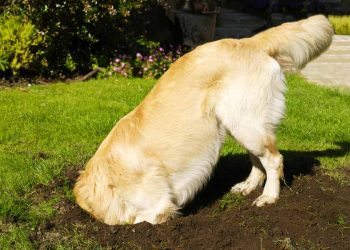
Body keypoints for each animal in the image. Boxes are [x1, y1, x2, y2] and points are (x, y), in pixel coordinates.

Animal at [74, 15, 334, 225]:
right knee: (258, 162)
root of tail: (247, 41)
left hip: (246, 123)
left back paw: (269, 196)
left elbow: (147, 218)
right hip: (241, 124)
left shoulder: (158, 207)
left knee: (274, 160)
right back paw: (248, 186)